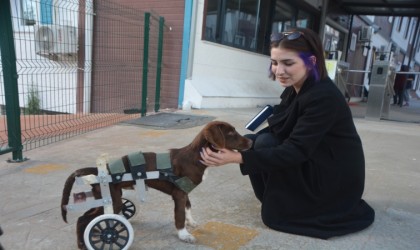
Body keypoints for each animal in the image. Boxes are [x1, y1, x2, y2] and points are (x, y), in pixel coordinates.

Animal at [60, 120, 251, 249]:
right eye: (231, 133)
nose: (251, 142)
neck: (195, 157)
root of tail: (97, 170)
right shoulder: (179, 195)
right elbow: (179, 216)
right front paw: (184, 235)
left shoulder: (184, 191)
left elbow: (188, 208)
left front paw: (191, 222)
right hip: (112, 200)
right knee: (83, 219)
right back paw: (83, 243)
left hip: (113, 197)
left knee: (89, 216)